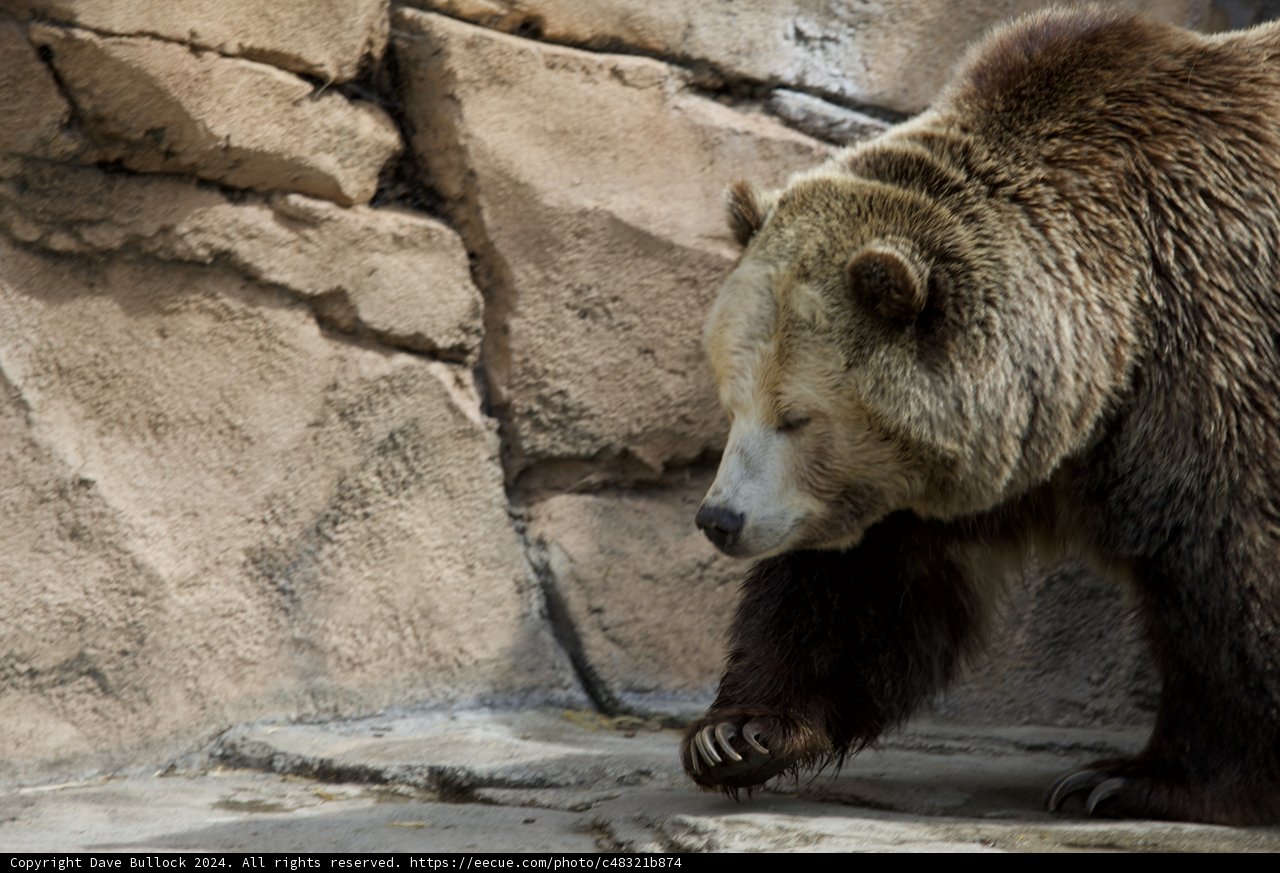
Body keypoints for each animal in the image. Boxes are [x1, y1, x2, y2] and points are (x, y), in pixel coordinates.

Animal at [682, 5, 1280, 825]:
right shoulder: (965, 462)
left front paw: (1137, 779)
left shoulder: (1212, 350)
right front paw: (736, 733)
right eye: (733, 399)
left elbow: (1230, 558)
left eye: (796, 416)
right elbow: (864, 589)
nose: (720, 519)